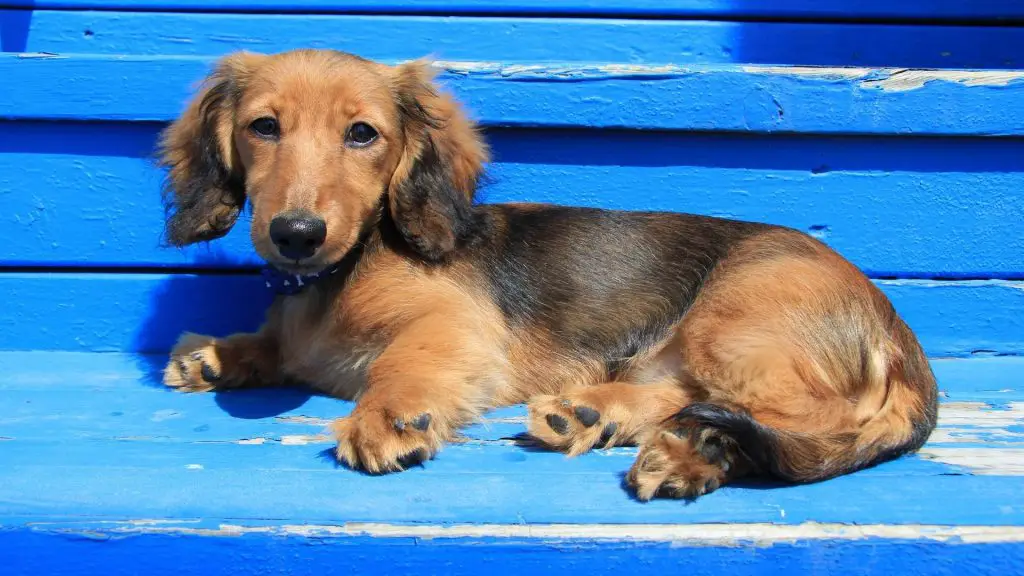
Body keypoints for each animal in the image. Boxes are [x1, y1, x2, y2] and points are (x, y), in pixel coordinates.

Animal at [157, 50, 937, 498]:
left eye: (362, 134)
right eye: (264, 127)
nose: (295, 235)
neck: (335, 277)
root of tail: (897, 333)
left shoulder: (456, 324)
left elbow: (401, 362)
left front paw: (387, 416)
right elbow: (270, 345)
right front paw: (214, 355)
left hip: (734, 318)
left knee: (812, 418)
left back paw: (689, 448)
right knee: (694, 397)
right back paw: (608, 420)